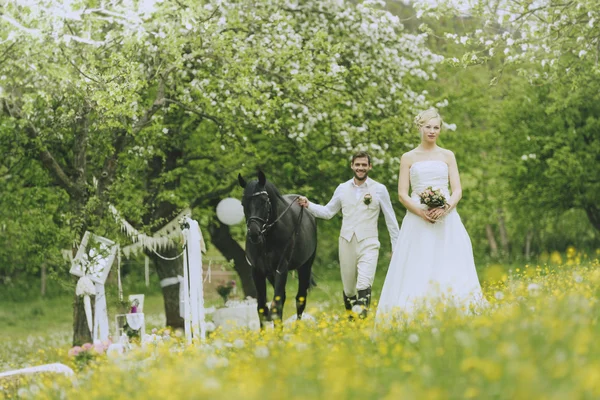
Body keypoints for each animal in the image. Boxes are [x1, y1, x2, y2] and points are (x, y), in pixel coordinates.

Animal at [238, 171, 318, 324]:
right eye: (243, 203)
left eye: (264, 201)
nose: (254, 233)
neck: (267, 239)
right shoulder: (257, 271)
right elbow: (262, 308)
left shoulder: (281, 268)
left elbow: (277, 305)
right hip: (271, 274)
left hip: (305, 266)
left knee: (300, 299)